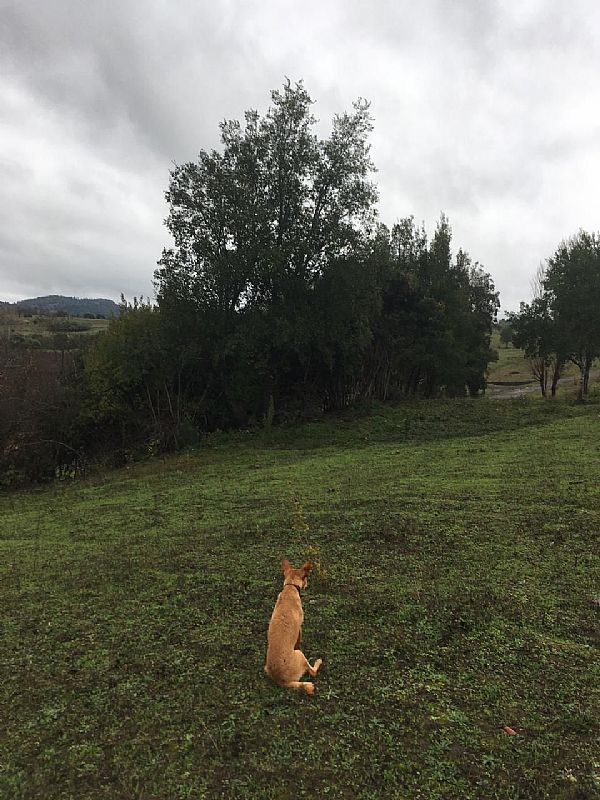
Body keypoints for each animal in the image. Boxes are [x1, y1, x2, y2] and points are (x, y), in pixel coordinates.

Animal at [266, 556, 324, 692]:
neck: (290, 587)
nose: (307, 583)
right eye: (306, 577)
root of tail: (282, 681)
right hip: (300, 655)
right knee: (313, 672)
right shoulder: (300, 627)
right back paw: (318, 662)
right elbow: (298, 641)